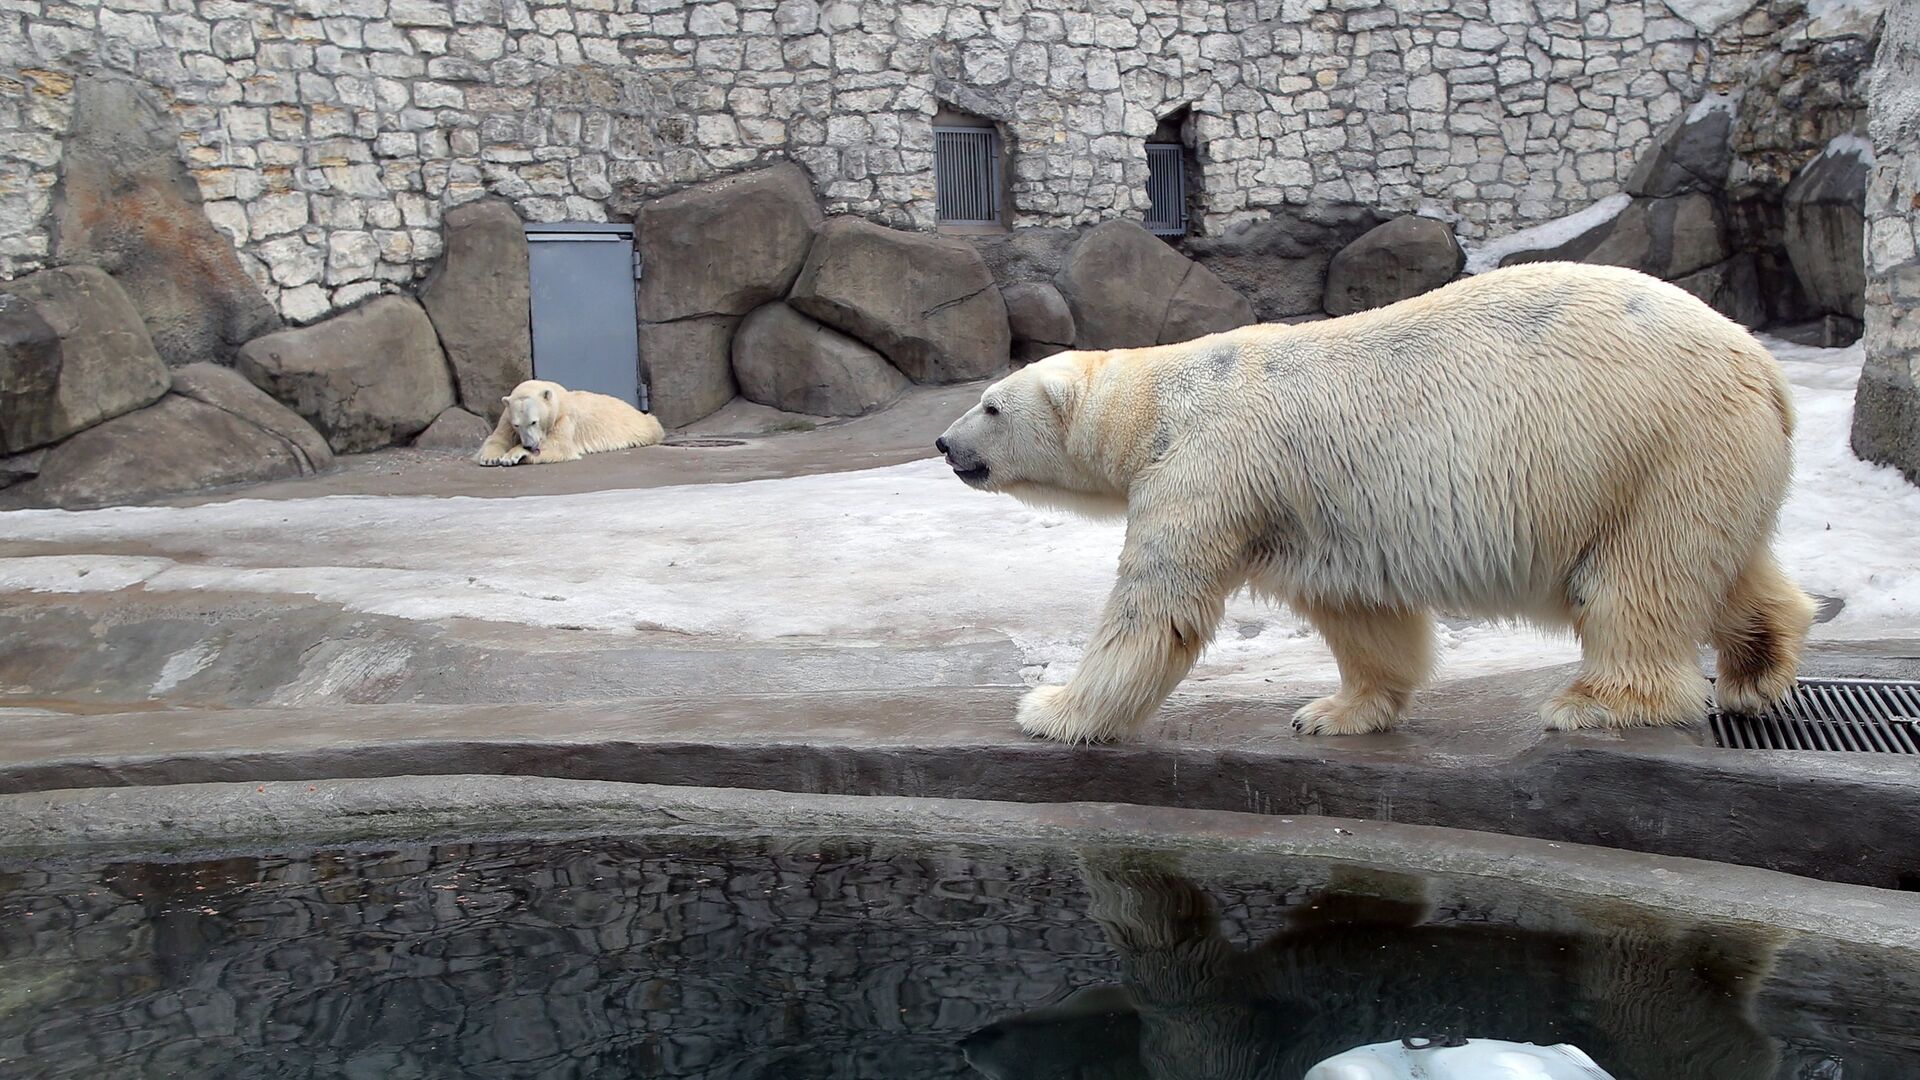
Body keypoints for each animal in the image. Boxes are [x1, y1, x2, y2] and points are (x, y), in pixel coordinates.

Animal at [476, 378, 664, 463]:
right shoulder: (506, 418)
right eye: (517, 424)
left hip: (637, 426)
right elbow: (497, 438)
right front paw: (491, 458)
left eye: (534, 422)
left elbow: (559, 446)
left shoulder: (564, 419)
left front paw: (513, 455)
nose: (529, 445)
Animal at [940, 261, 1812, 737]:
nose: (946, 445)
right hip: (1707, 460)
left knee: (1638, 582)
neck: (1161, 401)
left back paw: (1595, 701)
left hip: (1653, 447)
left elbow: (1157, 611)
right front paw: (1332, 710)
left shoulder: (1208, 466)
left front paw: (1049, 708)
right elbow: (1360, 611)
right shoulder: (1316, 510)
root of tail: (1766, 369)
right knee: (1727, 565)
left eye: (989, 405)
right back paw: (1757, 669)